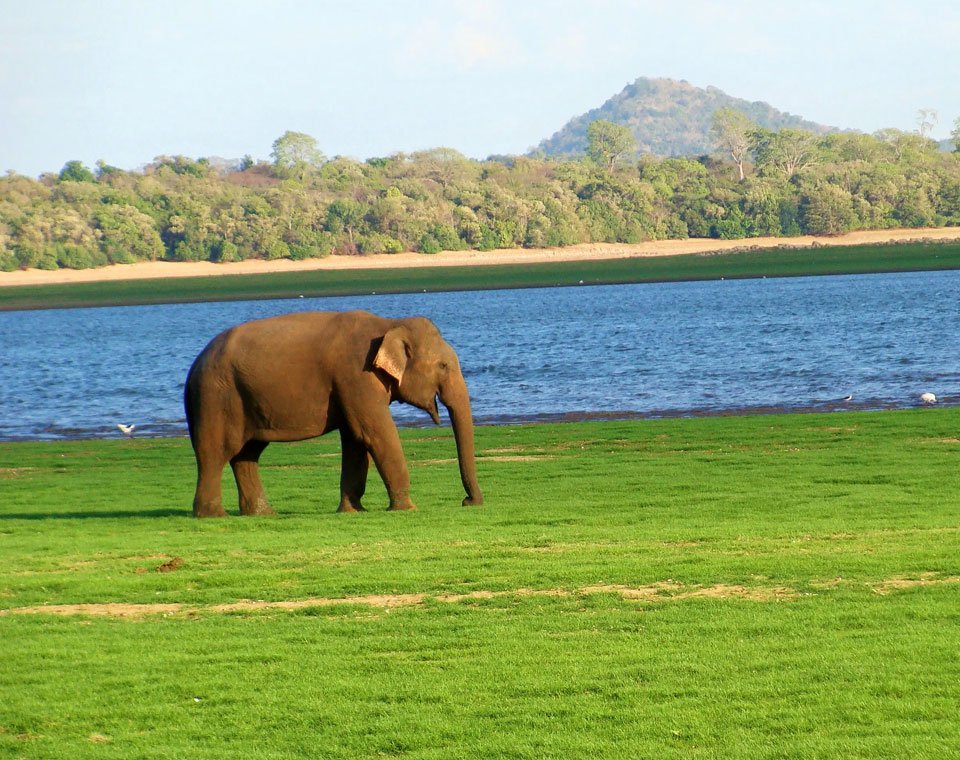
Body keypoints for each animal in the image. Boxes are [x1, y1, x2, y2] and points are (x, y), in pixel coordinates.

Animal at [184, 308, 484, 516]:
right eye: (443, 365)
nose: (468, 502)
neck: (389, 324)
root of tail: (194, 365)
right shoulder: (356, 376)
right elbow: (375, 434)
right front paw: (406, 509)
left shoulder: (350, 387)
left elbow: (355, 440)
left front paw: (353, 511)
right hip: (216, 398)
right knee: (215, 452)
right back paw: (212, 515)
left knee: (247, 454)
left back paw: (262, 514)